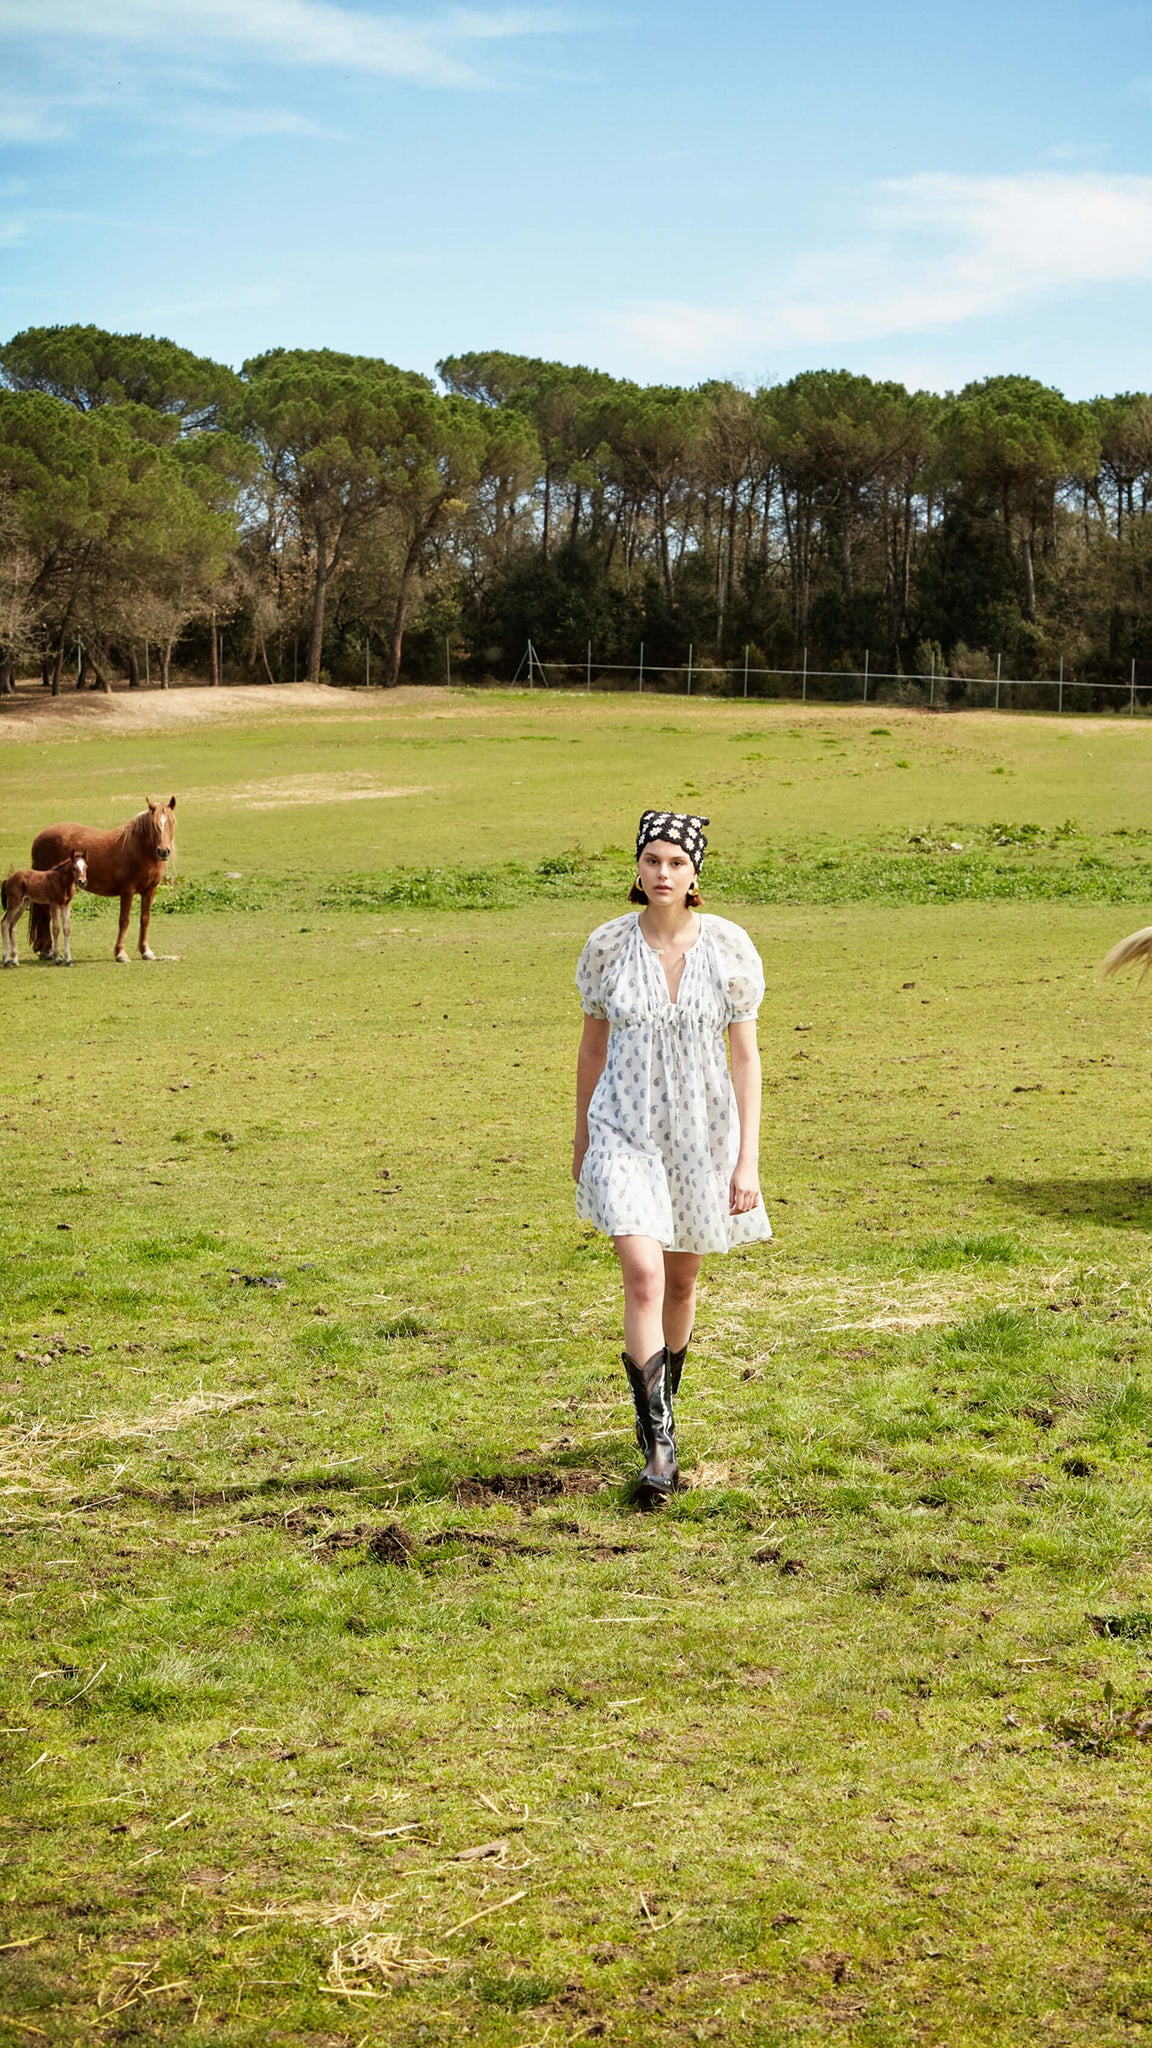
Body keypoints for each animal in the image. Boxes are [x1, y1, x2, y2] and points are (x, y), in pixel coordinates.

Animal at [29, 794, 175, 962]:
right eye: (154, 825)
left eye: (171, 822)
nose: (163, 851)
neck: (140, 849)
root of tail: (39, 838)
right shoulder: (127, 891)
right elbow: (124, 920)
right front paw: (120, 953)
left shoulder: (150, 890)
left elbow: (145, 919)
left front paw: (145, 951)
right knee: (44, 916)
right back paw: (47, 950)